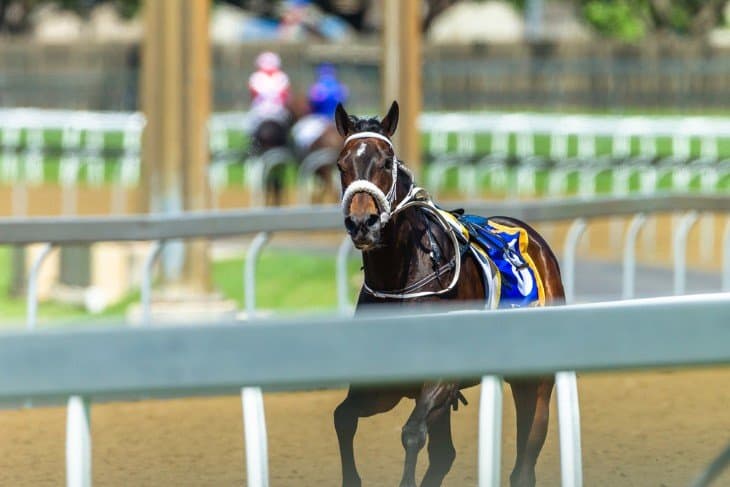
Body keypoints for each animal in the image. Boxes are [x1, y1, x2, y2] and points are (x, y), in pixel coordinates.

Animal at [332, 101, 565, 487]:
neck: (401, 277)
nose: (362, 222)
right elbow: (343, 417)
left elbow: (411, 434)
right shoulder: (384, 384)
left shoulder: (441, 378)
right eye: (341, 163)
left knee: (525, 459)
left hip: (535, 383)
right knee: (444, 454)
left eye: (386, 161)